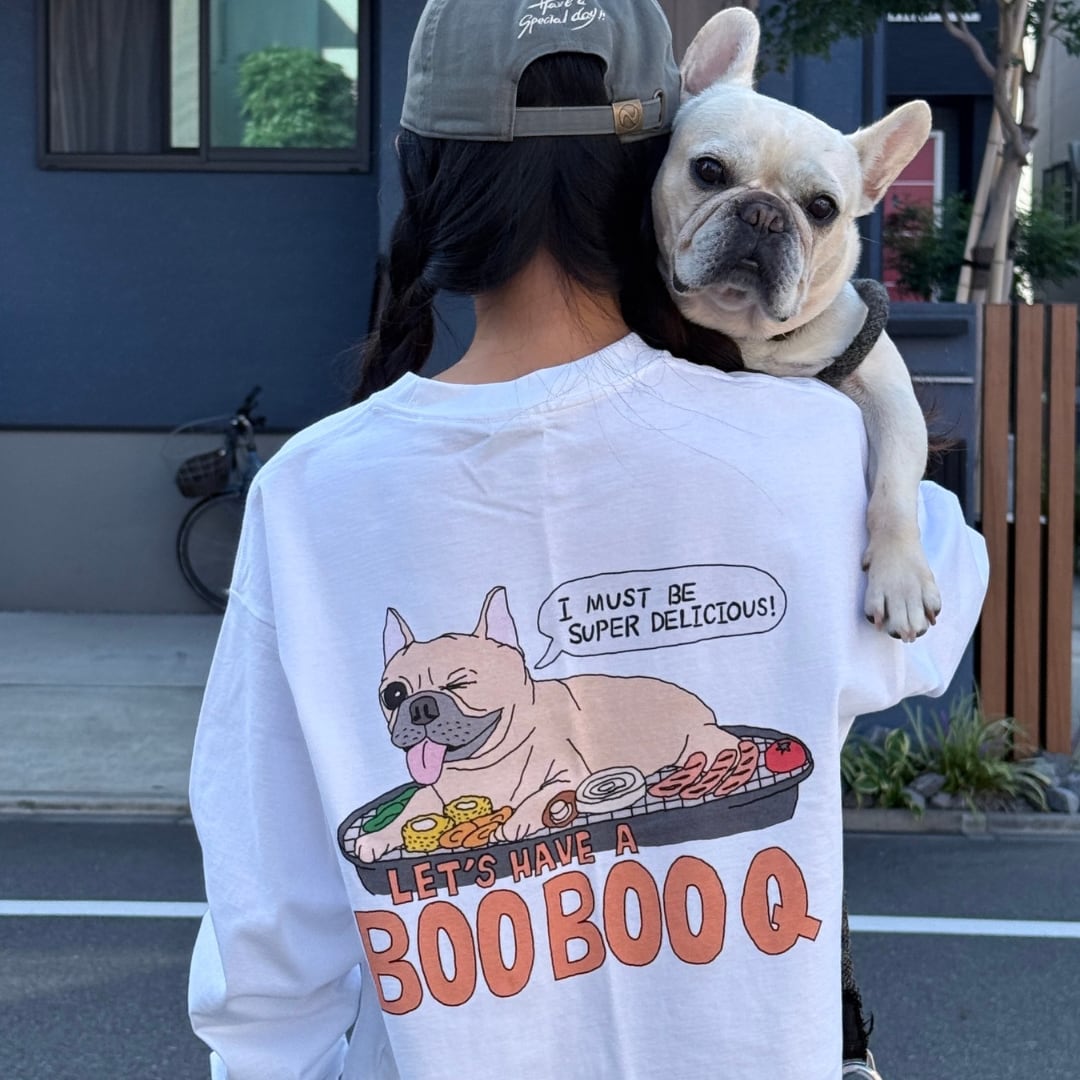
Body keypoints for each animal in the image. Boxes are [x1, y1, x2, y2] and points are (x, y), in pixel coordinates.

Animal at [353, 586, 756, 862]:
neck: (480, 767)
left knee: (716, 740)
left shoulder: (570, 778)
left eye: (460, 684)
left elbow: (540, 794)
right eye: (393, 694)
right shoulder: (430, 795)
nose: (421, 706)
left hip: (697, 730)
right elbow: (409, 811)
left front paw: (518, 819)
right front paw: (378, 836)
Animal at [653, 7, 940, 643]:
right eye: (708, 170)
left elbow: (896, 490)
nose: (764, 213)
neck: (753, 332)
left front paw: (902, 579)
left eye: (822, 208)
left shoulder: (887, 390)